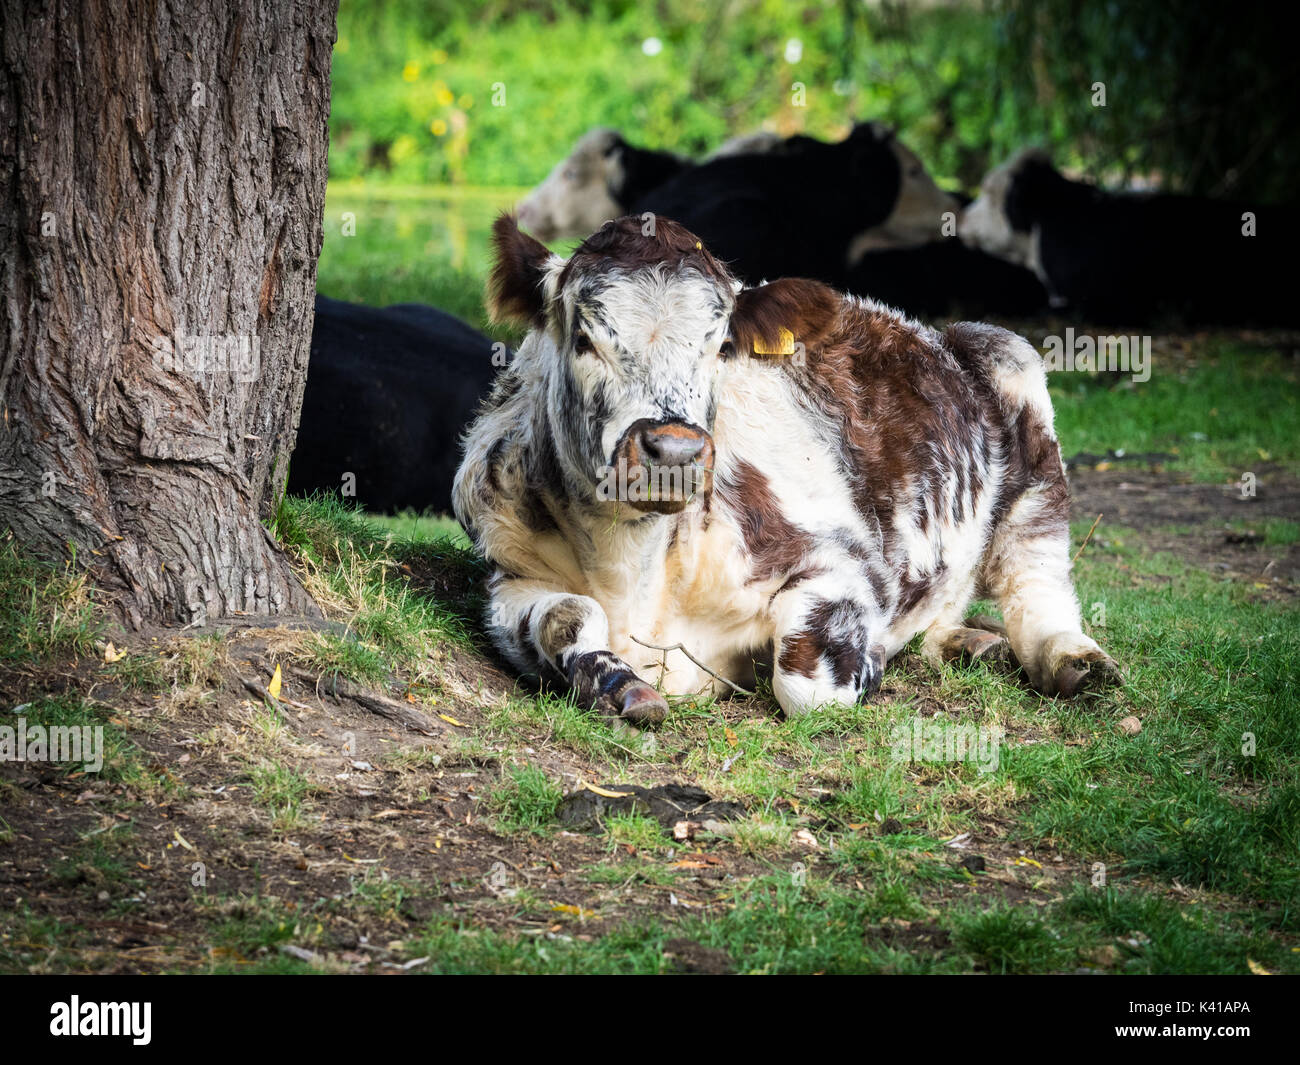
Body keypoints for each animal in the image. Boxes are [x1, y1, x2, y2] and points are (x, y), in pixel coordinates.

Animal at [452, 214, 1123, 723]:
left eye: (721, 346)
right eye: (585, 338)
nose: (674, 452)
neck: (634, 574)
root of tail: (930, 328)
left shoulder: (849, 564)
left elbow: (806, 684)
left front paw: (870, 662)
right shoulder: (509, 573)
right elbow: (567, 617)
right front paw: (619, 685)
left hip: (1019, 380)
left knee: (1036, 579)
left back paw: (1073, 660)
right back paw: (970, 642)